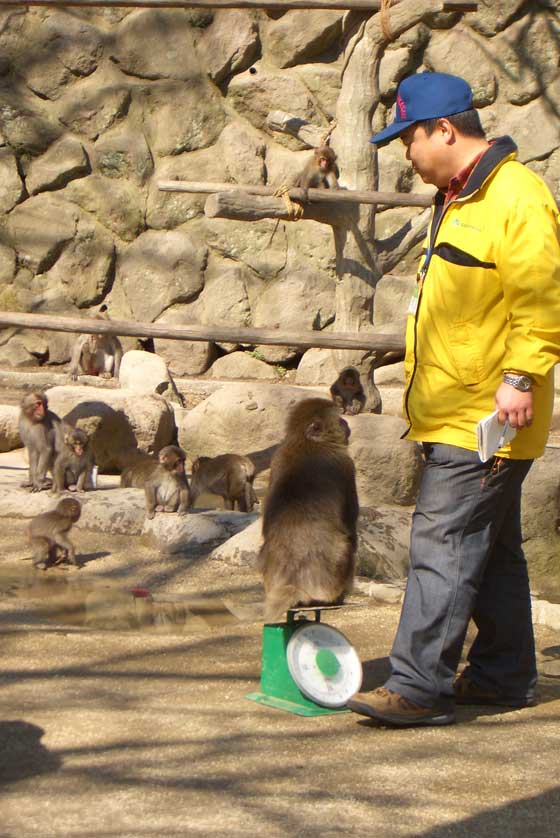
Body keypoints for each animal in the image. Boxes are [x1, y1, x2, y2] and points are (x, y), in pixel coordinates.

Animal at [258, 400, 358, 624]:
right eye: (339, 419)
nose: (347, 423)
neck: (306, 442)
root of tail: (295, 585)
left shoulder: (278, 456)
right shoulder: (346, 465)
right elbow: (351, 526)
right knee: (347, 545)